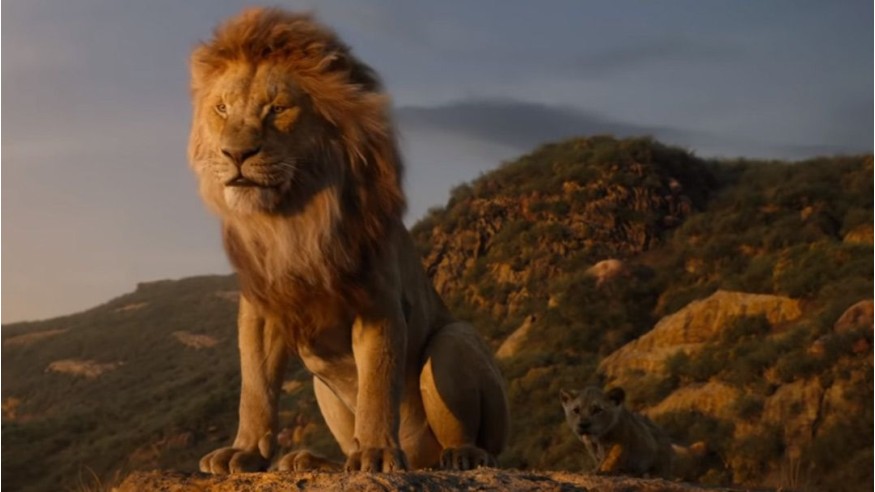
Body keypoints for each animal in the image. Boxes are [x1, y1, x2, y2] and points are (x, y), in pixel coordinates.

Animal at [187, 8, 509, 474]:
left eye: (278, 109)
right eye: (222, 108)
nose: (236, 154)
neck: (292, 219)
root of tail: (419, 459)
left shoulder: (378, 302)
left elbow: (376, 385)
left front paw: (375, 453)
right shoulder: (261, 309)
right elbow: (256, 389)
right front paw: (244, 452)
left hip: (455, 341)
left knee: (478, 439)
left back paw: (461, 455)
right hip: (322, 387)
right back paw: (309, 460)